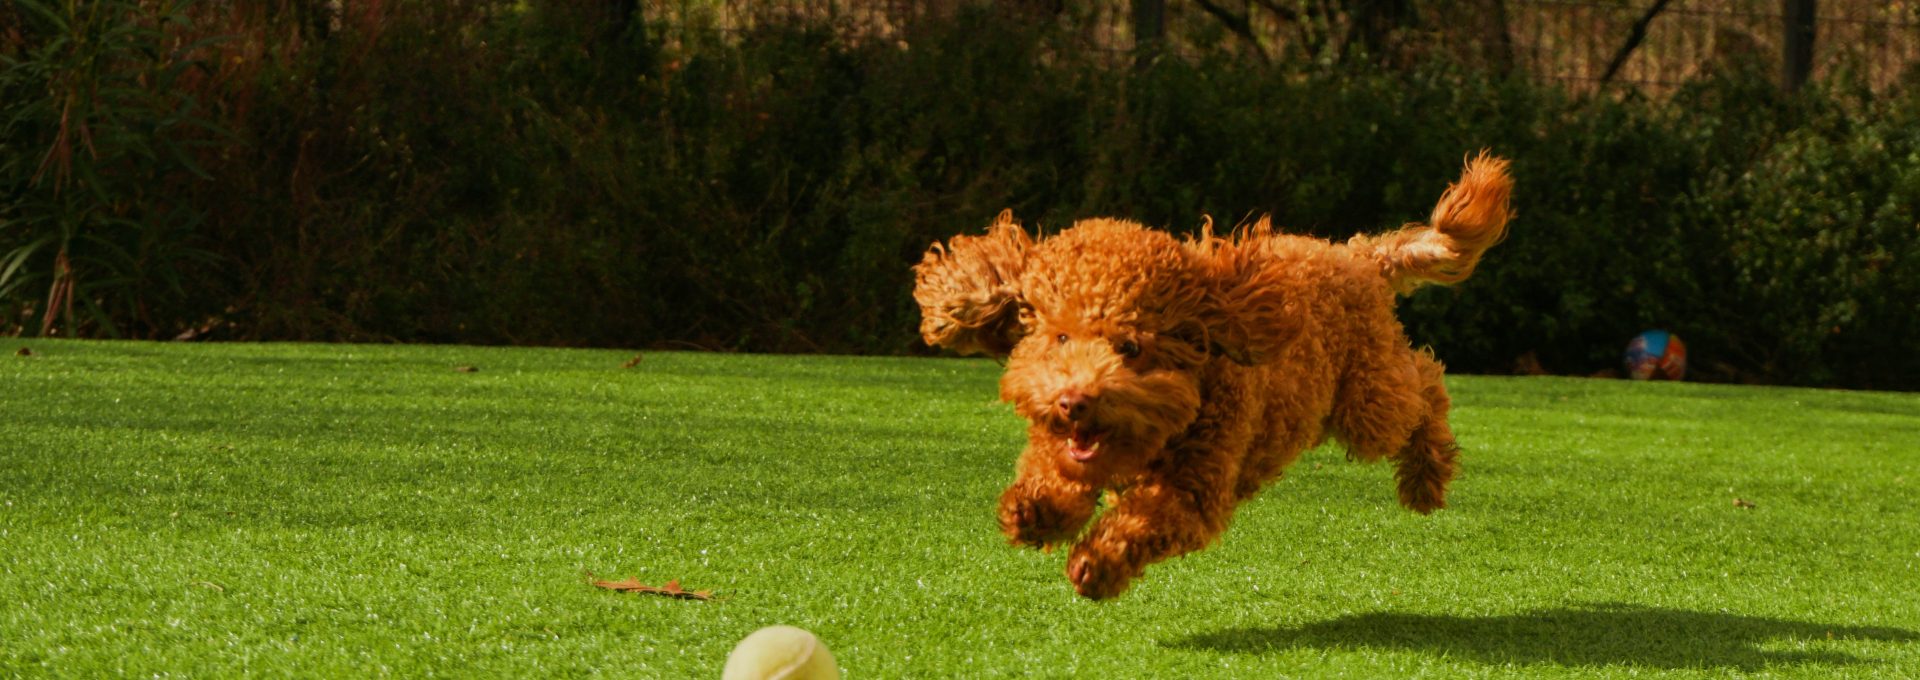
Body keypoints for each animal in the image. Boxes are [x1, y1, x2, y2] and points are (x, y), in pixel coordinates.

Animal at [913, 151, 1512, 599]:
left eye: (1131, 347)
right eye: (1060, 336)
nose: (1074, 401)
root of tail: (1361, 257)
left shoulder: (1195, 488)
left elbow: (1142, 521)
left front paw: (1096, 564)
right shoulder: (1062, 446)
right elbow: (1052, 474)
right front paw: (1035, 511)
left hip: (1368, 401)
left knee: (1425, 385)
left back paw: (1427, 475)